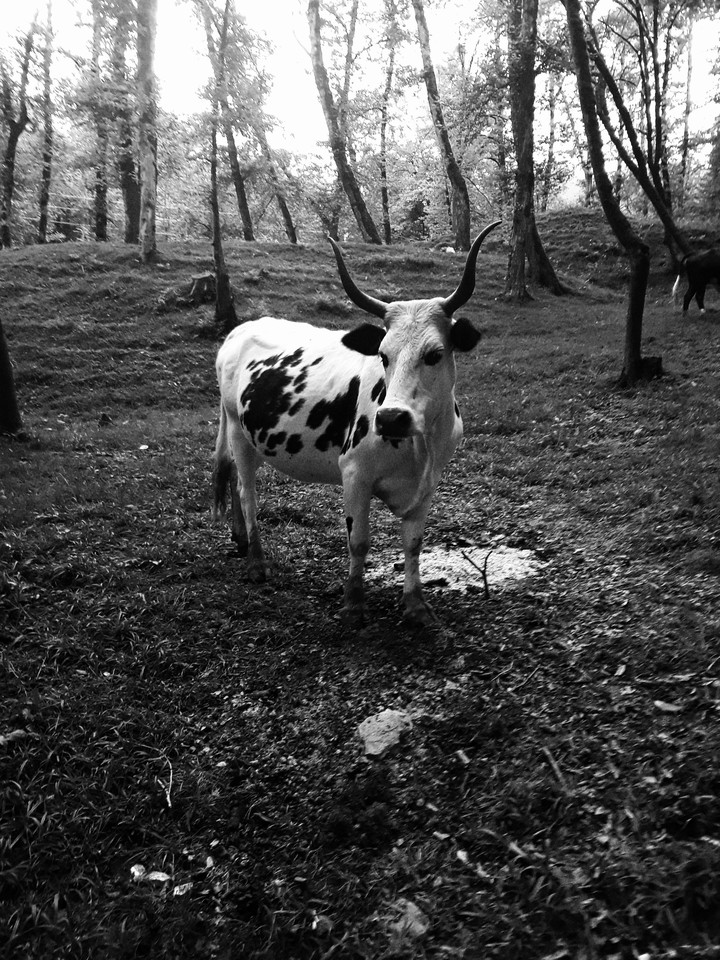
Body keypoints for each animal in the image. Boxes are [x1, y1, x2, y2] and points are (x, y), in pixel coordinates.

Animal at [212, 220, 501, 626]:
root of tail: (237, 333)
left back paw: (240, 541)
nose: (392, 418)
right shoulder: (354, 473)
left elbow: (413, 543)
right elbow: (358, 541)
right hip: (239, 431)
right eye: (383, 354)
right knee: (245, 492)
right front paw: (353, 603)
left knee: (233, 479)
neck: (420, 444)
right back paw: (256, 561)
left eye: (434, 354)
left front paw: (415, 603)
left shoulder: (429, 482)